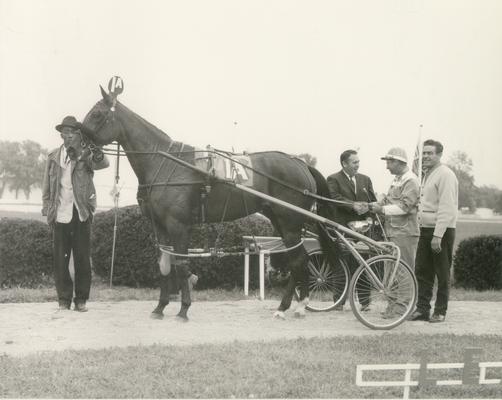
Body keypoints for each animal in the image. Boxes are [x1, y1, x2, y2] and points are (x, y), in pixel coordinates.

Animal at [81, 86, 338, 320]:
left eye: (97, 114)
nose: (77, 142)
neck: (166, 161)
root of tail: (301, 164)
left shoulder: (179, 225)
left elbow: (181, 264)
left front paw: (184, 309)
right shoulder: (160, 226)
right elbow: (164, 264)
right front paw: (160, 307)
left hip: (290, 222)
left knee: (299, 260)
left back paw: (291, 306)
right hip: (280, 220)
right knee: (297, 259)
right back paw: (294, 305)